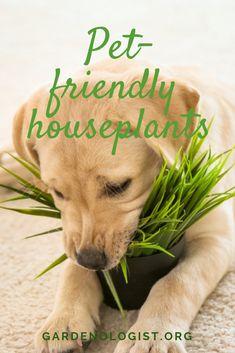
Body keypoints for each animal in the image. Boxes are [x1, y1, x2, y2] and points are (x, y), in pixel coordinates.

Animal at [11, 61, 235, 352]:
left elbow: (176, 281)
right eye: (58, 193)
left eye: (118, 186)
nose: (91, 260)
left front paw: (152, 334)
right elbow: (72, 270)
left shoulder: (217, 236)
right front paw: (63, 322)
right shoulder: (72, 235)